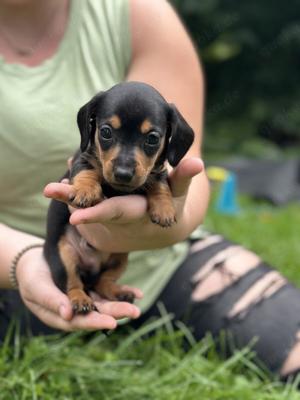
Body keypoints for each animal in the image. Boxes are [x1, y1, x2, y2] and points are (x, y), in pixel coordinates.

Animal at [44, 82, 195, 316]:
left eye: (152, 138)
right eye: (106, 132)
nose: (123, 174)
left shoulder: (156, 171)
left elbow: (159, 183)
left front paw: (164, 209)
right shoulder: (83, 158)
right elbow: (86, 171)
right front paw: (85, 191)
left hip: (120, 258)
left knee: (103, 282)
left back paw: (118, 293)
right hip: (64, 255)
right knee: (72, 283)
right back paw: (81, 300)